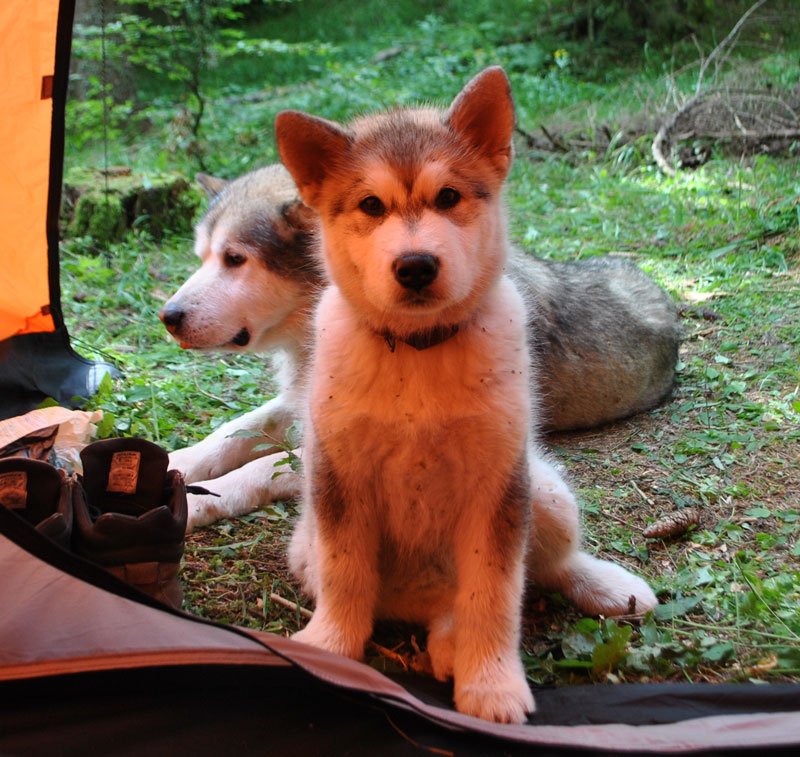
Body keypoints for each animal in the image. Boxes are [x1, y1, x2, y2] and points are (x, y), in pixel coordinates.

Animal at [276, 68, 656, 724]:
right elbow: (346, 575)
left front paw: (492, 684)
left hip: (543, 489)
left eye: (449, 197)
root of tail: (423, 605)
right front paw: (329, 648)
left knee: (548, 567)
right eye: (371, 205)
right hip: (307, 543)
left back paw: (604, 587)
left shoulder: (497, 484)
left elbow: (495, 593)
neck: (419, 351)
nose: (416, 266)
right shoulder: (337, 477)